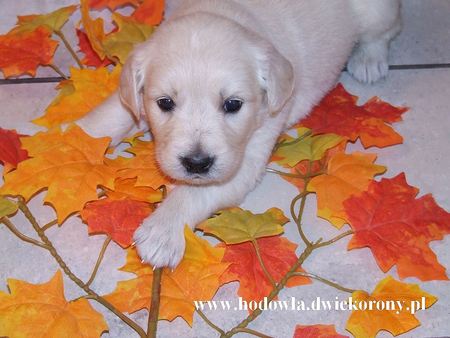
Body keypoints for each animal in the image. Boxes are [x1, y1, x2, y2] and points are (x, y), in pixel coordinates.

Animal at [76, 0, 400, 270]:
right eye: (165, 103)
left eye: (233, 104)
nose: (196, 163)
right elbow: (113, 114)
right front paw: (73, 141)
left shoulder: (246, 157)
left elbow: (194, 192)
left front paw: (163, 231)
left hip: (376, 13)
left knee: (383, 33)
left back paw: (368, 60)